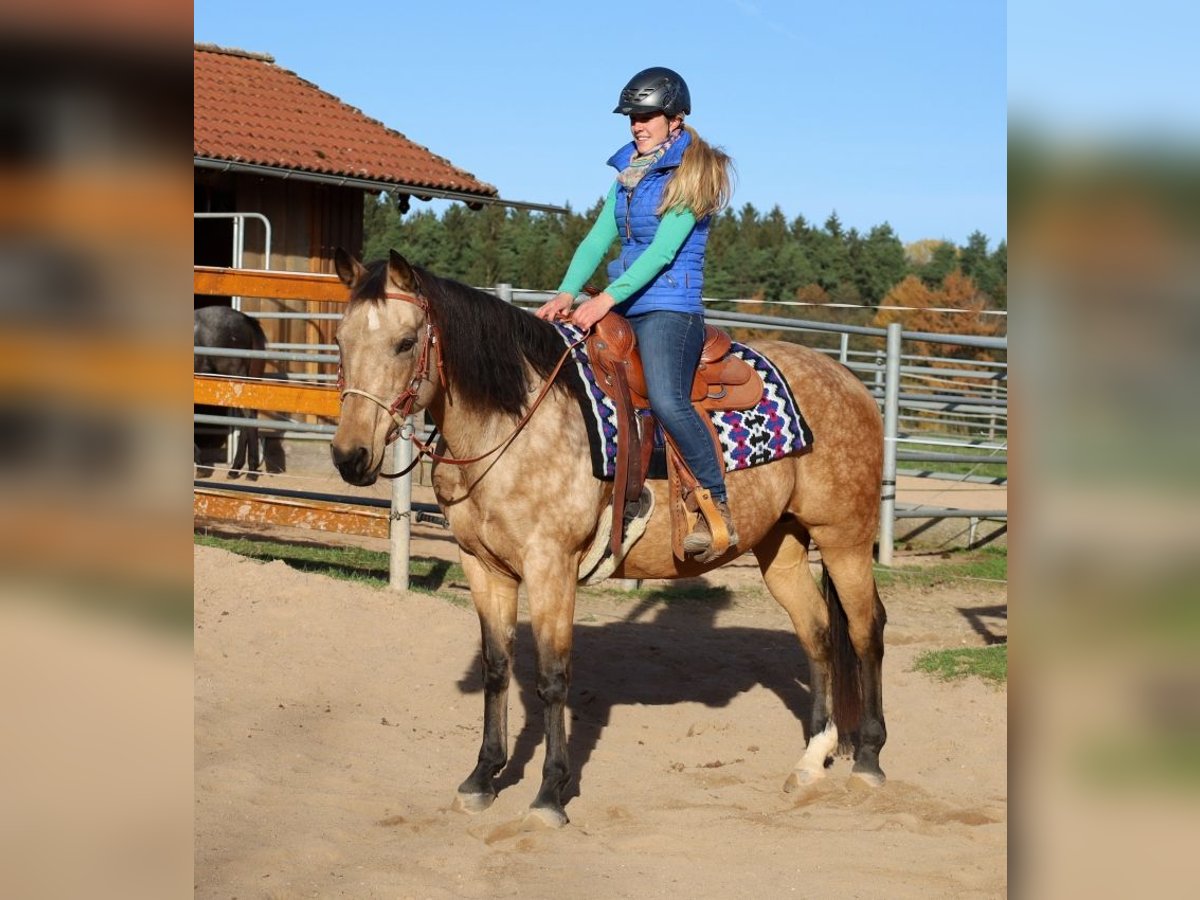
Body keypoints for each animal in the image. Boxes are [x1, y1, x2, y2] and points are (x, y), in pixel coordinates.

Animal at [333, 250, 888, 830]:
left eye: (405, 342)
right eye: (341, 339)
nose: (350, 457)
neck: (514, 424)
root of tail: (850, 381)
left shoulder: (551, 567)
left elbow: (553, 677)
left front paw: (549, 794)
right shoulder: (483, 567)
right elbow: (496, 668)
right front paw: (483, 777)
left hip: (845, 540)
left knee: (866, 631)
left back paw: (868, 760)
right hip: (782, 546)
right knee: (818, 633)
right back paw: (813, 760)